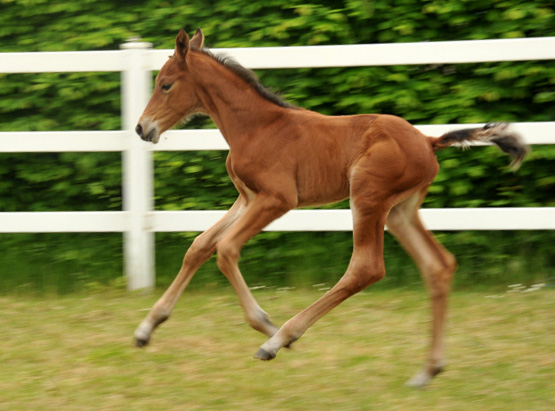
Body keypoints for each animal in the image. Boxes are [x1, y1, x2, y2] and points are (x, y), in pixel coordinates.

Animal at [132, 27, 528, 388]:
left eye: (165, 84)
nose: (141, 128)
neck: (256, 126)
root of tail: (429, 141)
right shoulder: (247, 198)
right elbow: (199, 246)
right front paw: (146, 328)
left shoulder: (277, 199)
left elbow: (226, 249)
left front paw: (265, 324)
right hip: (400, 210)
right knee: (438, 265)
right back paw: (427, 371)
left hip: (367, 196)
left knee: (366, 267)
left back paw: (279, 340)